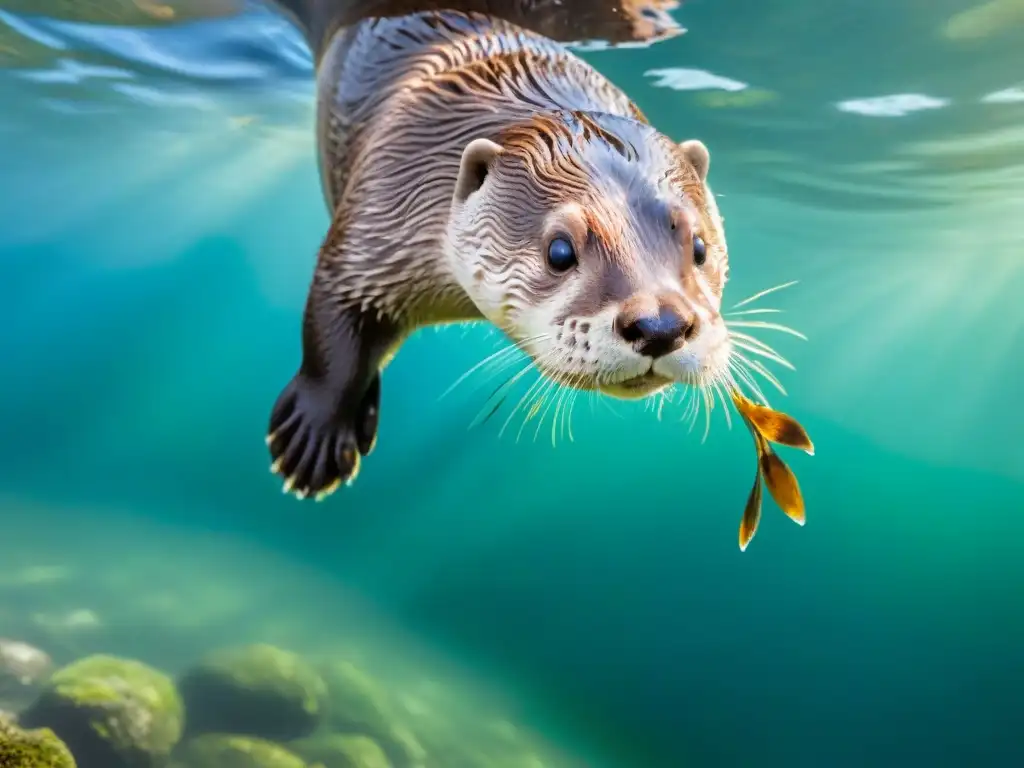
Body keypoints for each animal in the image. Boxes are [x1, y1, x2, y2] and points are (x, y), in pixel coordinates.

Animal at [264, 0, 729, 501]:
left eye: (700, 246)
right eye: (559, 251)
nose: (661, 325)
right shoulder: (379, 219)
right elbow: (334, 308)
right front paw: (316, 432)